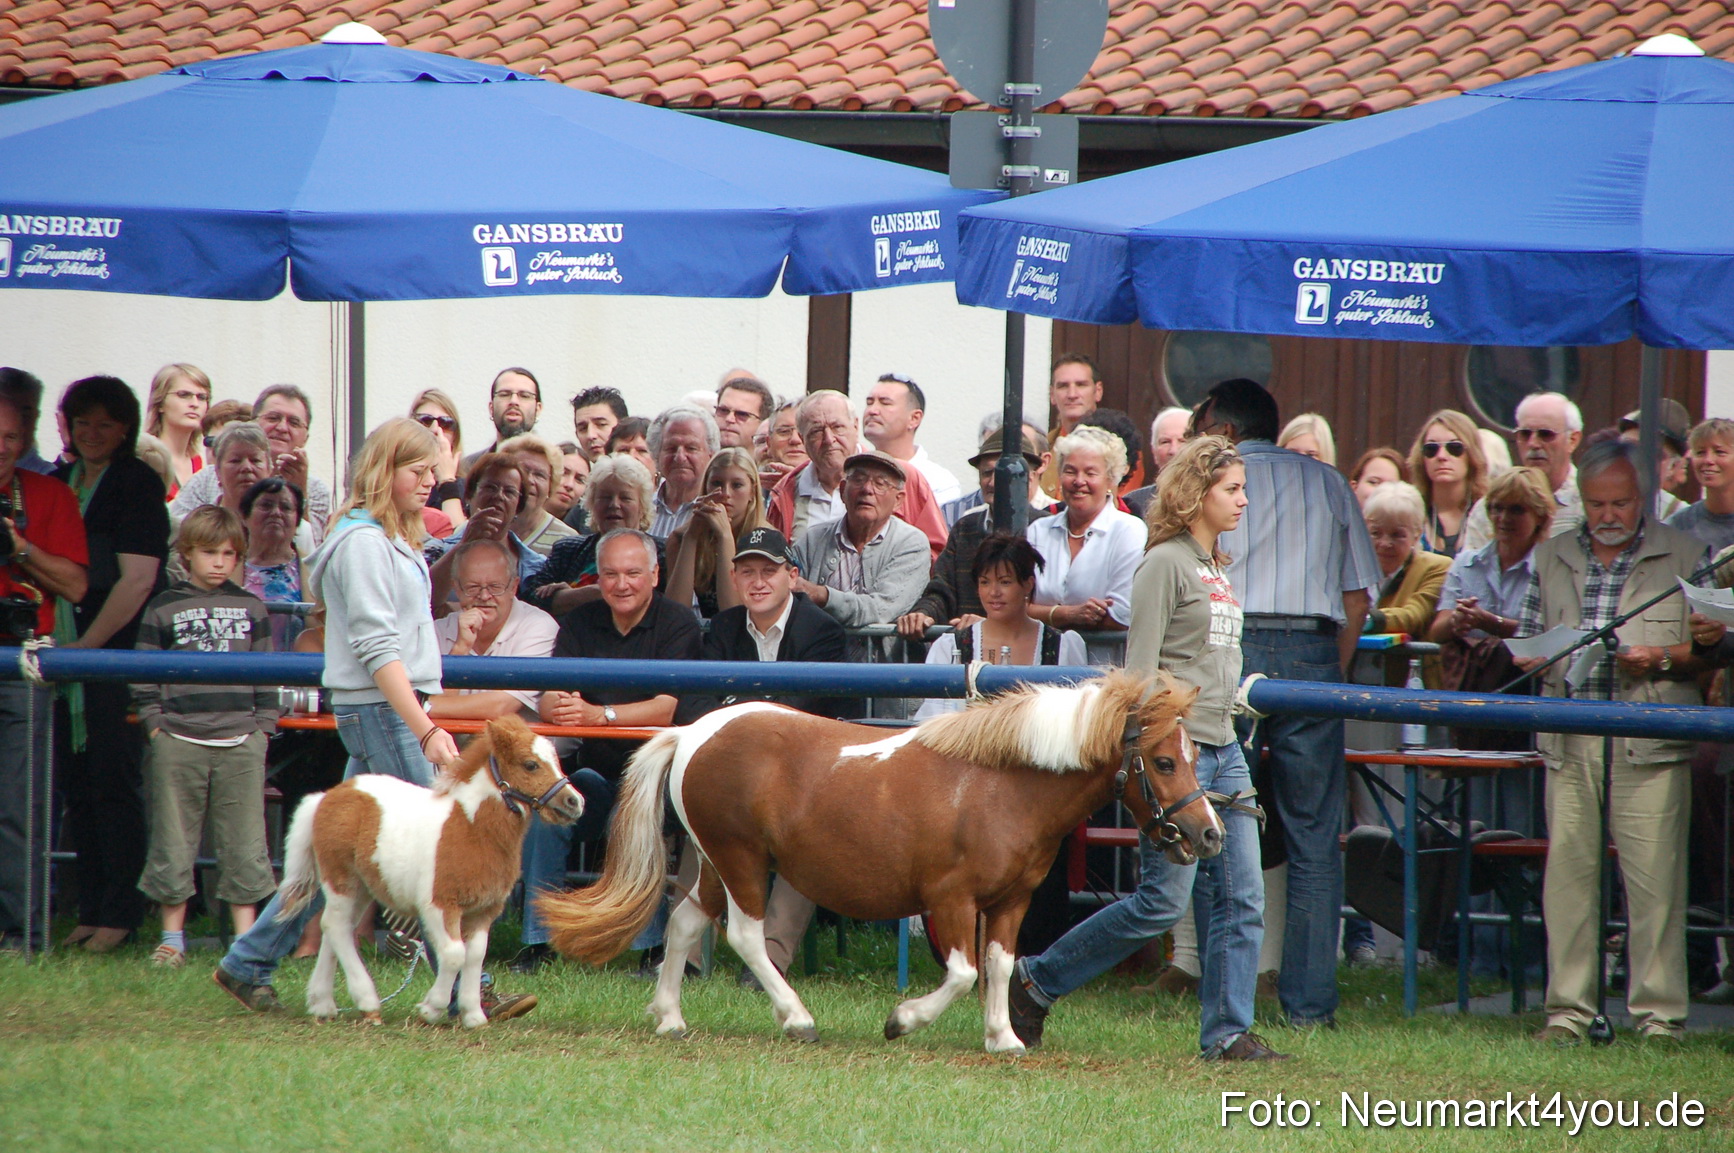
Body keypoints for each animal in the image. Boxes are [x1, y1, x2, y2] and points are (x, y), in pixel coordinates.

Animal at [277, 716, 582, 1027]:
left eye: (556, 761)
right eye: (530, 764)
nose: (574, 803)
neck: (471, 827)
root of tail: (326, 796)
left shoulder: (483, 911)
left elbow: (475, 956)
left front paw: (473, 1014)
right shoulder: (440, 905)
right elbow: (454, 954)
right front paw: (431, 1008)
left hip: (364, 887)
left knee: (333, 927)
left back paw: (322, 1003)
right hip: (341, 879)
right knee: (336, 927)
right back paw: (367, 1002)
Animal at [535, 669, 1220, 1052]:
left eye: (1193, 755)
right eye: (1164, 761)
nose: (1208, 835)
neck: (1001, 785)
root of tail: (692, 734)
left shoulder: (1011, 901)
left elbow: (1000, 966)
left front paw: (1003, 1038)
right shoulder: (951, 899)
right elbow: (964, 973)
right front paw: (902, 1021)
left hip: (713, 864)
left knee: (681, 926)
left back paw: (671, 1019)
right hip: (742, 862)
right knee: (746, 937)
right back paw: (797, 1020)